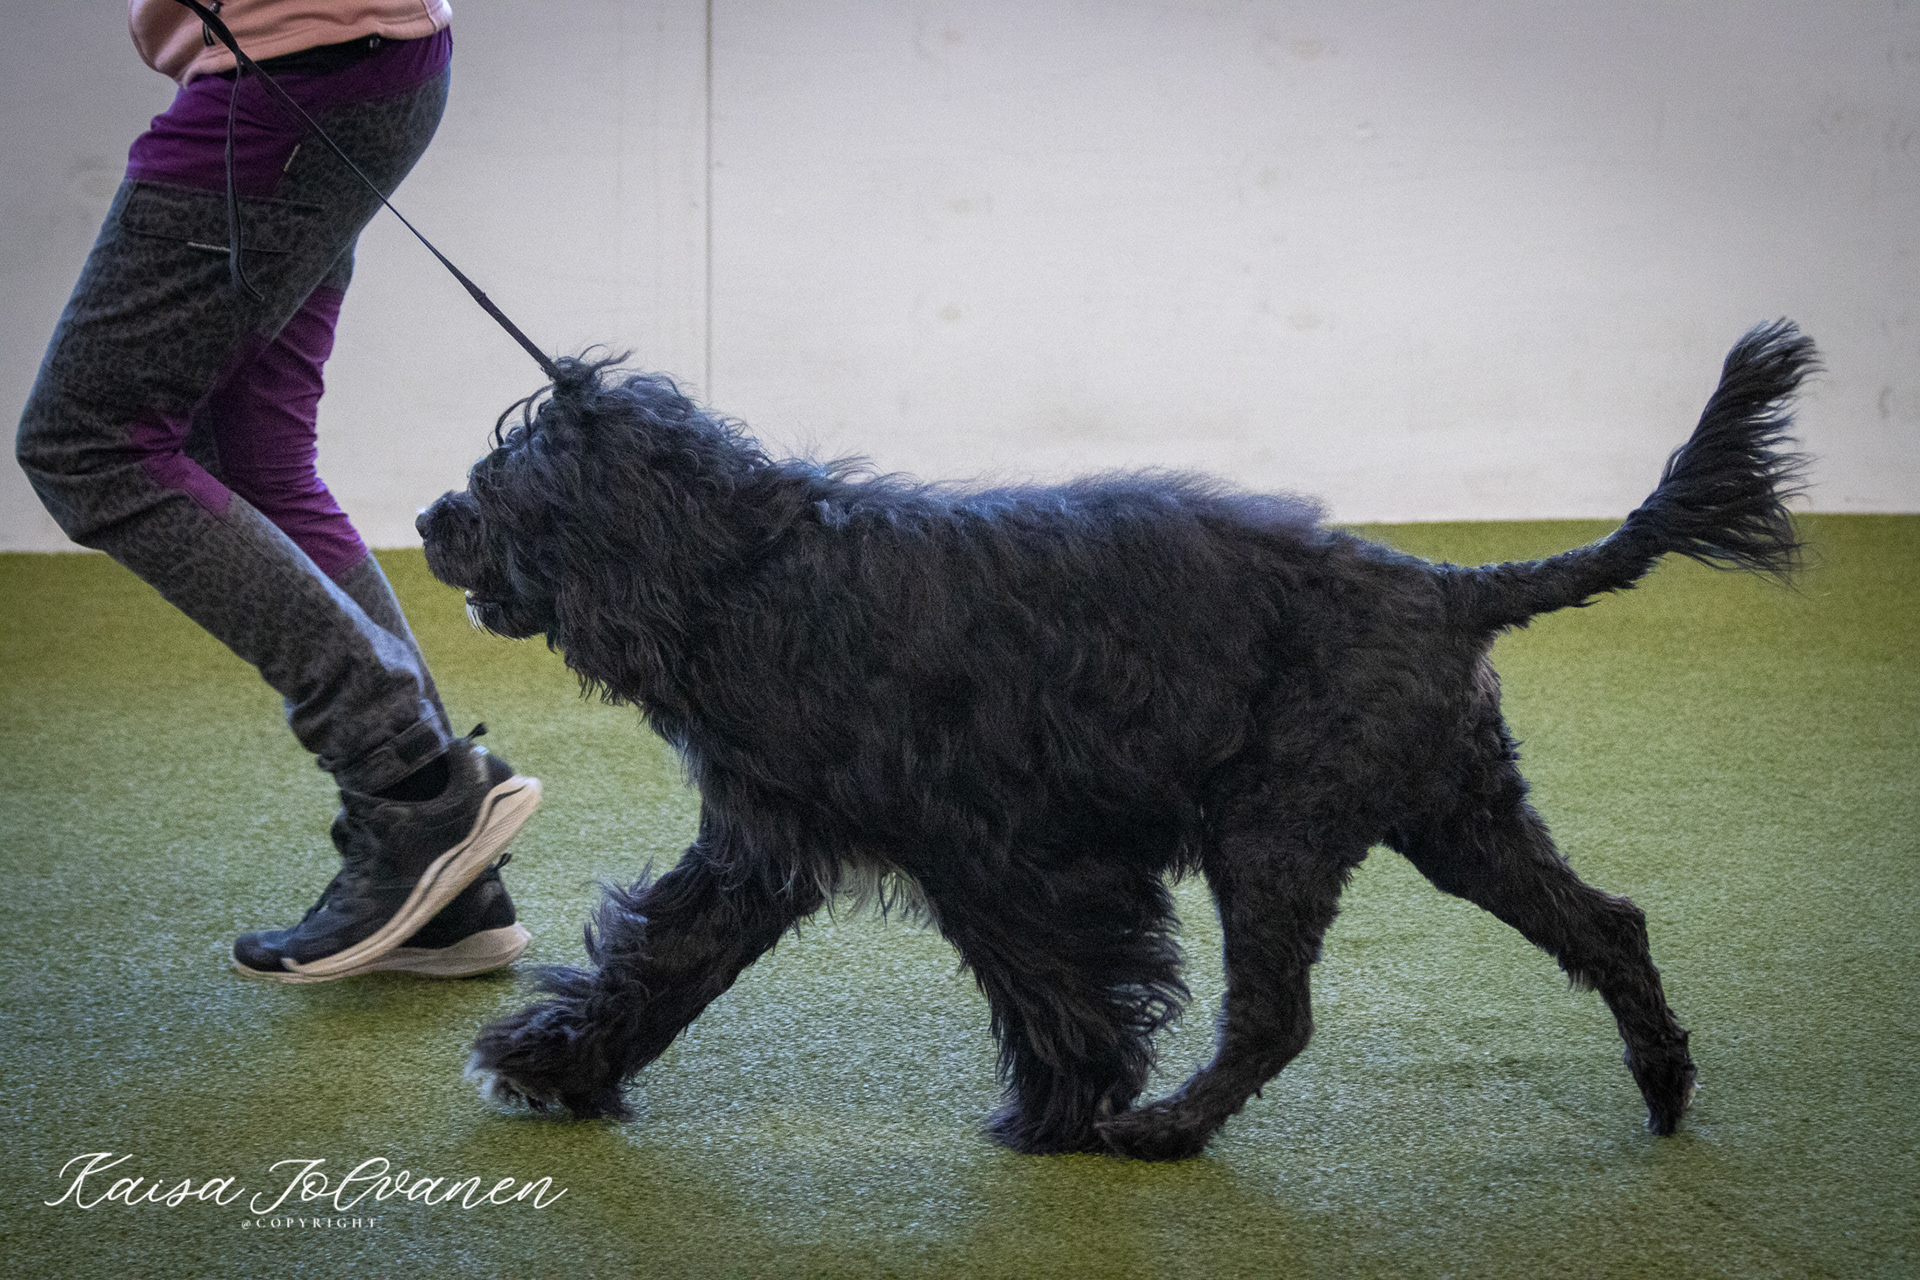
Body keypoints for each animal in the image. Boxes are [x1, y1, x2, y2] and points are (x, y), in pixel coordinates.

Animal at [418, 321, 1815, 1159]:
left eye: (503, 485)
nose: (430, 519)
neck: (750, 568)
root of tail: (1445, 582)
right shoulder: (766, 842)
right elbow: (662, 960)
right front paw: (555, 1064)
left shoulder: (997, 847)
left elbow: (1052, 975)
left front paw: (1068, 1105)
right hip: (1459, 813)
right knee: (1608, 924)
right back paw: (1665, 1085)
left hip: (1278, 828)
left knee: (1276, 1015)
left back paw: (1168, 1129)